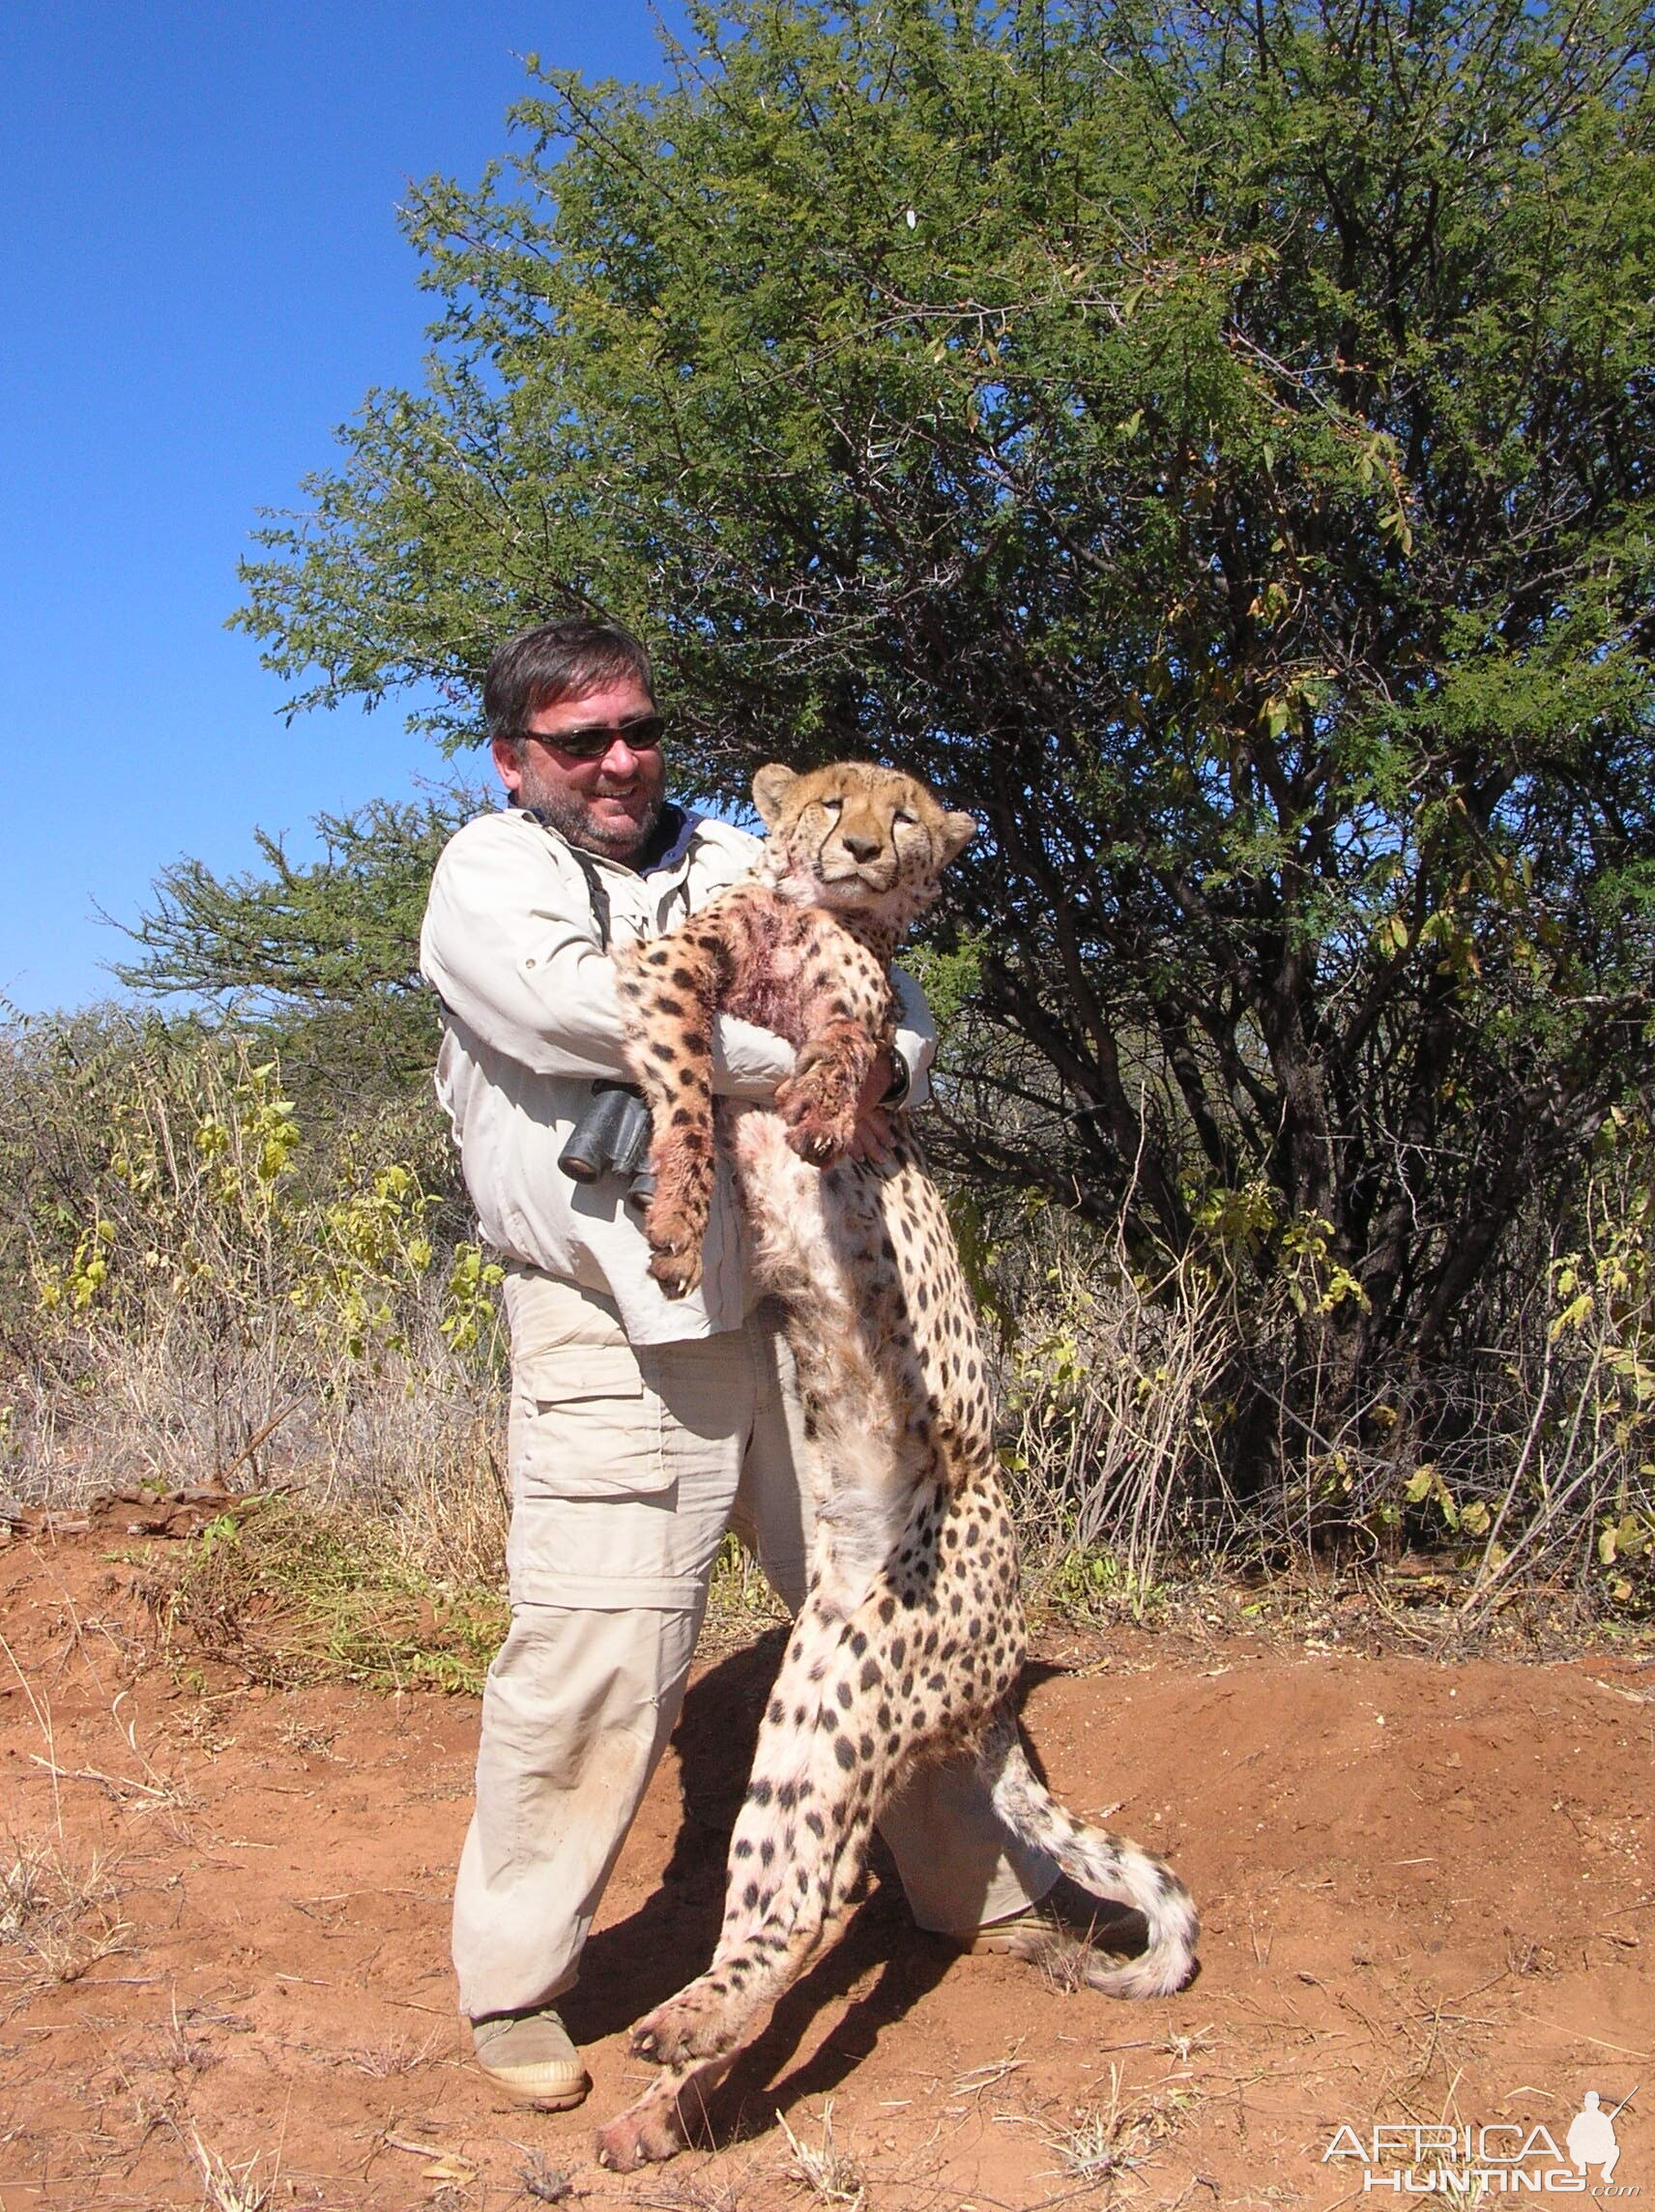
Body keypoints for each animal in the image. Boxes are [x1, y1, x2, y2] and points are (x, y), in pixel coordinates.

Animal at [601, 756, 1194, 2159]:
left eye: (908, 815)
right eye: (829, 802)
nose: (863, 852)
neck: (812, 912)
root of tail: (992, 1684)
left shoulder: (852, 996)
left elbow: (852, 1038)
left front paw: (822, 1108)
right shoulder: (674, 969)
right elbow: (687, 1083)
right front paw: (675, 1209)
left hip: (853, 1703)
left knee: (809, 1906)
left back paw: (676, 2050)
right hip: (816, 1706)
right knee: (784, 1908)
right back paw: (665, 2086)